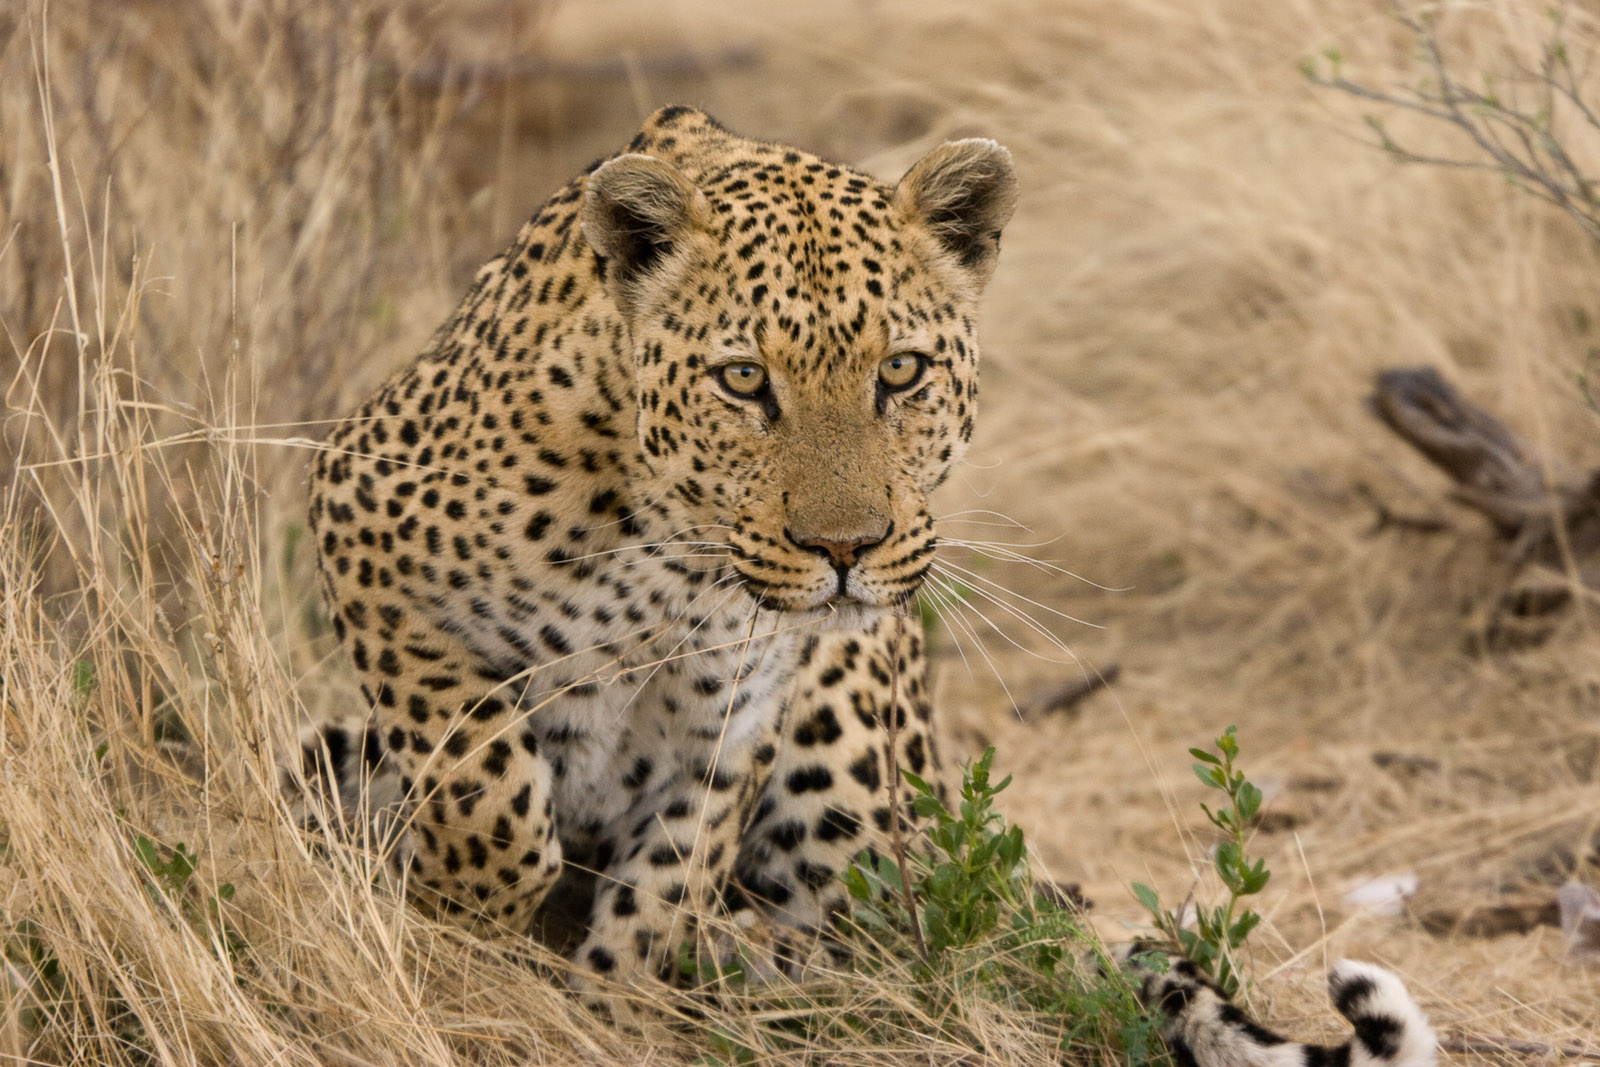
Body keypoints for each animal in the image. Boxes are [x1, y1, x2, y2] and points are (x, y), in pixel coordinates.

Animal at [302, 102, 1440, 1067]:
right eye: (743, 380)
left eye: (900, 372)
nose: (845, 547)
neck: (669, 551)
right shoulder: (359, 523)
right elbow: (482, 777)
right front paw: (467, 936)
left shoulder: (730, 717)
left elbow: (661, 888)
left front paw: (606, 1011)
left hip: (848, 742)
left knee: (887, 936)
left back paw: (756, 959)